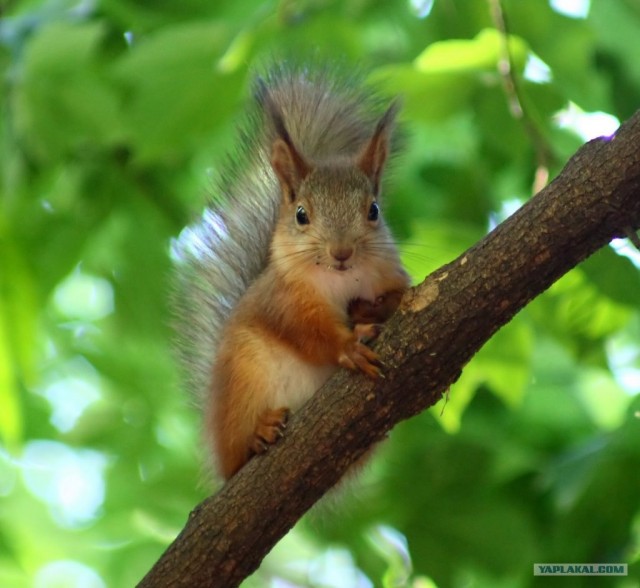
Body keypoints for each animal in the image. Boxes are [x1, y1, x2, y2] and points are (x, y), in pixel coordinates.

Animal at [172, 64, 408, 480]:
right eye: (301, 215)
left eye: (374, 210)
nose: (342, 252)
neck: (341, 279)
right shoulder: (283, 300)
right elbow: (307, 332)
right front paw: (349, 345)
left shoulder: (391, 275)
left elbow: (402, 296)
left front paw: (370, 311)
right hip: (244, 381)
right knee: (236, 454)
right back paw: (258, 435)